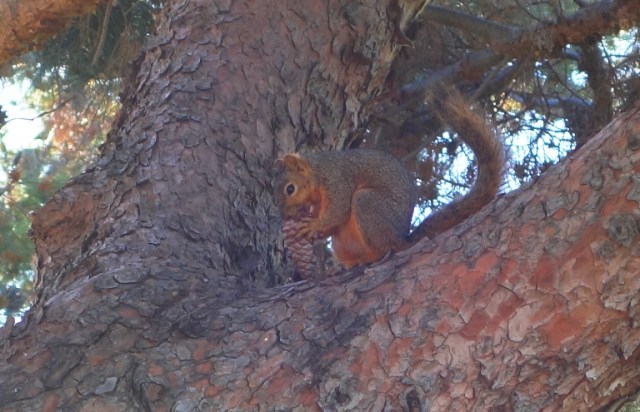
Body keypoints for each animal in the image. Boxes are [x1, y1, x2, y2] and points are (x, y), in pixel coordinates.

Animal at [274, 87, 504, 271]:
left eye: (290, 189)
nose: (286, 216)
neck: (317, 174)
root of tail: (402, 238)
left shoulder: (337, 181)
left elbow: (337, 212)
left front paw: (313, 226)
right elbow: (332, 223)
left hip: (368, 205)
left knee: (386, 247)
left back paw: (370, 257)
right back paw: (342, 266)